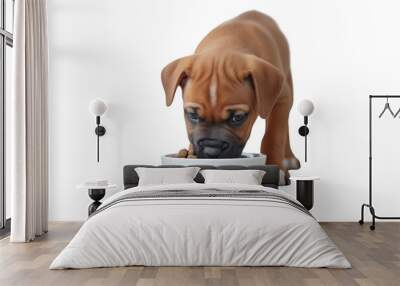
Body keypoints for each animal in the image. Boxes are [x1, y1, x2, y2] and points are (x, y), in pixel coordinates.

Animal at [161, 10, 298, 177]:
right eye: (193, 115)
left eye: (237, 118)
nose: (211, 150)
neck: (225, 46)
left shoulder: (281, 99)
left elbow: (274, 135)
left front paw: (275, 166)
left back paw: (289, 158)